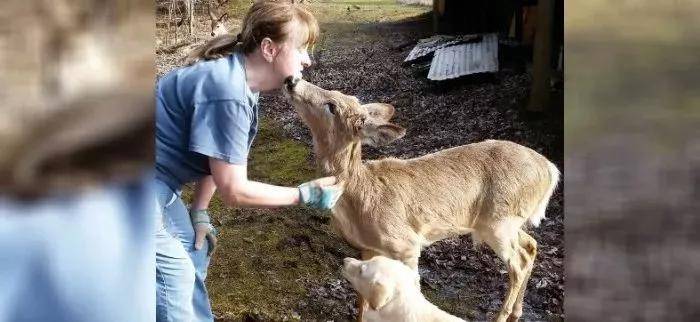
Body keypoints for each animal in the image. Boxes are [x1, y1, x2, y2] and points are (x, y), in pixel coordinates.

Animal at [282, 78, 560, 322]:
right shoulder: (367, 248)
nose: (291, 80)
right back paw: (517, 311)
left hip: (498, 222)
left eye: (332, 106)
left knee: (518, 263)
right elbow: (361, 299)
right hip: (506, 222)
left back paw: (503, 315)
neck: (359, 195)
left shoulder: (406, 244)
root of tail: (550, 169)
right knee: (530, 246)